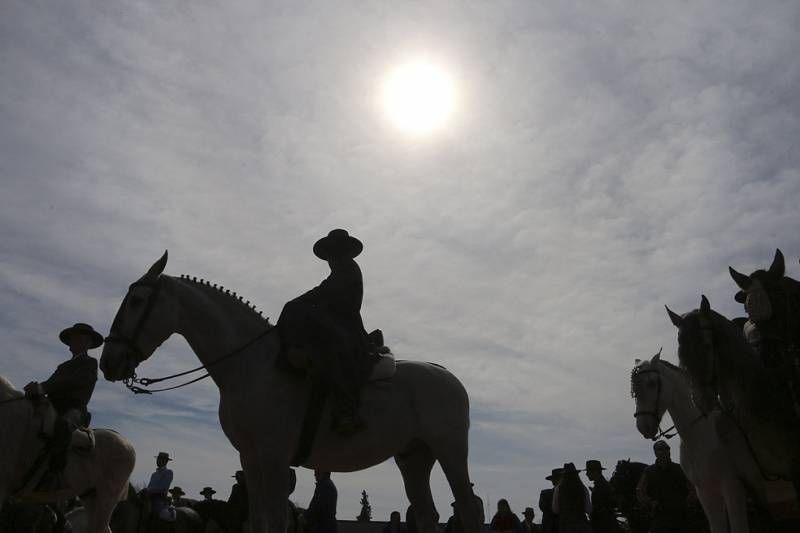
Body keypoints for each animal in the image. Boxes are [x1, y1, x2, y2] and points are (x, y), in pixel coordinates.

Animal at [96, 251, 482, 532]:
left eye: (137, 300)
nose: (109, 362)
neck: (251, 365)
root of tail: (446, 375)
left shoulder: (274, 455)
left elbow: (277, 520)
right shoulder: (250, 458)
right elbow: (259, 521)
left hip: (450, 450)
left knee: (467, 509)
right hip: (414, 457)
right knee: (427, 513)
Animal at [632, 352, 768, 528]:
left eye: (651, 384)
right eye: (634, 390)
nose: (643, 427)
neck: (701, 435)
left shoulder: (733, 488)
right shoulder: (706, 494)